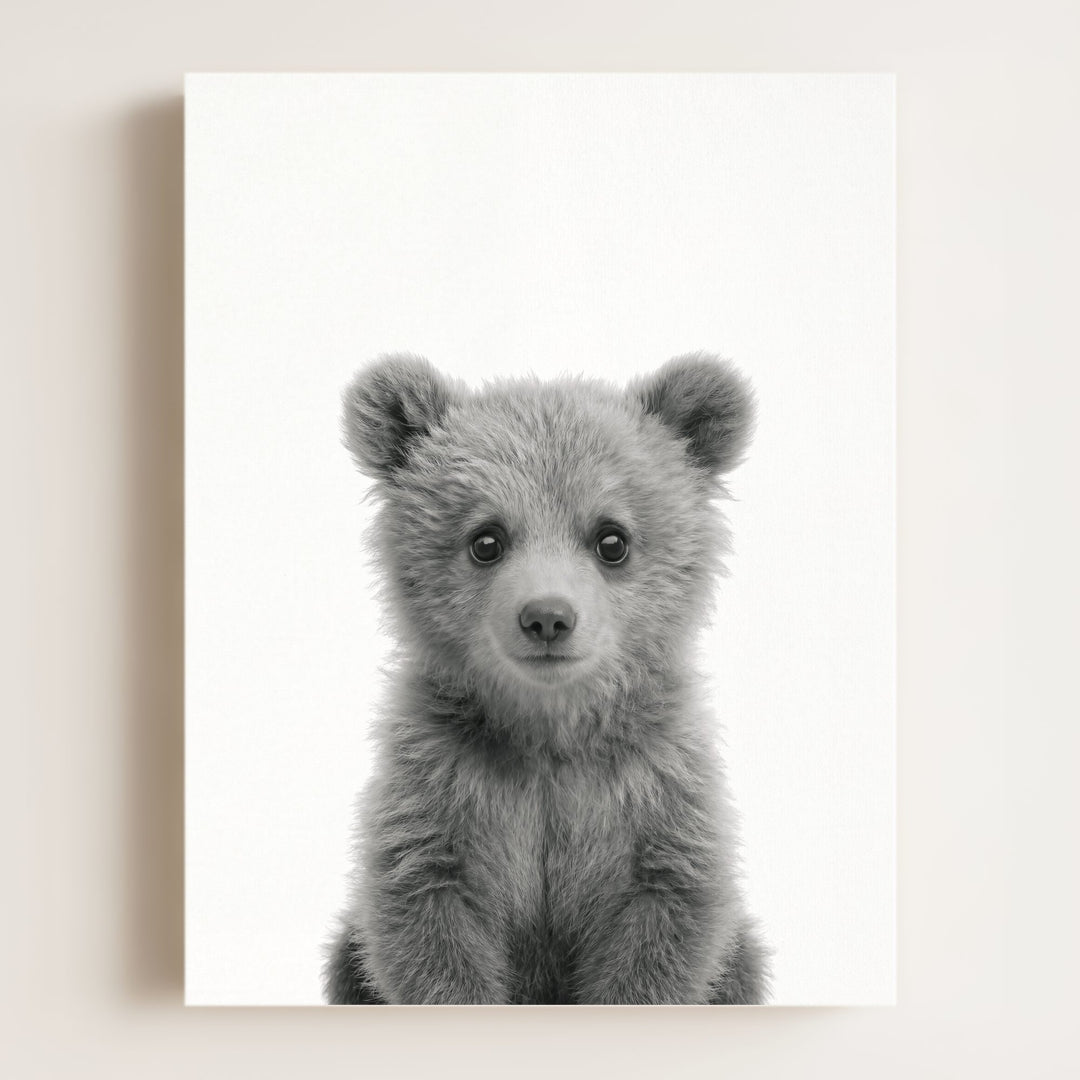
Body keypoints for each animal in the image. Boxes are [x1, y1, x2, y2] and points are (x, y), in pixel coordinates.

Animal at [324, 352, 770, 1005]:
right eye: (486, 539)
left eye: (612, 539)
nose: (548, 617)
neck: (548, 732)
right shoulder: (441, 788)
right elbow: (427, 923)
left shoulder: (654, 795)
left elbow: (663, 928)